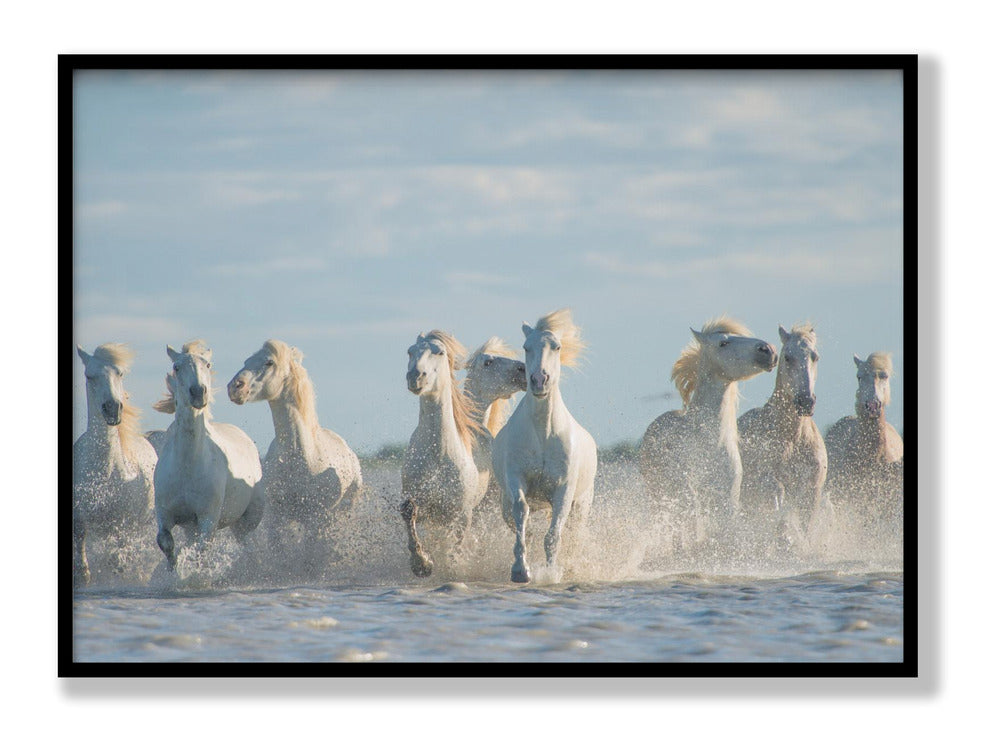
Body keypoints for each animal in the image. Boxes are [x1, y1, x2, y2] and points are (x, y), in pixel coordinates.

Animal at [150, 340, 264, 568]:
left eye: (208, 365)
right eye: (176, 367)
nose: (198, 392)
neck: (187, 464)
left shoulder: (207, 519)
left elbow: (199, 552)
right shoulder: (166, 513)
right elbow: (166, 543)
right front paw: (172, 570)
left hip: (247, 521)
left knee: (247, 544)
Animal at [227, 336, 364, 568]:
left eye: (269, 362)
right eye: (247, 360)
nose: (234, 387)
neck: (299, 458)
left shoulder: (315, 519)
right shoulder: (276, 518)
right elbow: (279, 551)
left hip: (338, 515)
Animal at [400, 328, 482, 576]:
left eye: (439, 352)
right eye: (410, 351)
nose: (415, 377)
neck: (438, 454)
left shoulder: (461, 513)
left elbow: (456, 545)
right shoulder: (419, 501)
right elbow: (408, 512)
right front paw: (422, 564)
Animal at [640, 314, 780, 548]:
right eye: (723, 343)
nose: (768, 350)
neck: (709, 442)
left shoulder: (726, 499)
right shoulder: (687, 496)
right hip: (659, 499)